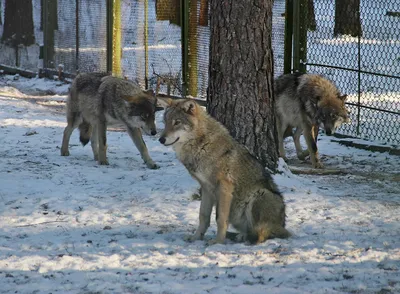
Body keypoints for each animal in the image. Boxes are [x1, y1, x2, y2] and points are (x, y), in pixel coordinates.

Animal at [157, 100, 290, 245]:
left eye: (177, 122)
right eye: (165, 122)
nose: (161, 139)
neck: (202, 145)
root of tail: (282, 225)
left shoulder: (224, 187)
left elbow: (220, 218)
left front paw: (218, 241)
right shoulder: (206, 188)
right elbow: (203, 216)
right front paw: (196, 237)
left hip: (260, 194)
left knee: (264, 233)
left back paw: (252, 242)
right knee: (250, 231)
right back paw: (241, 237)